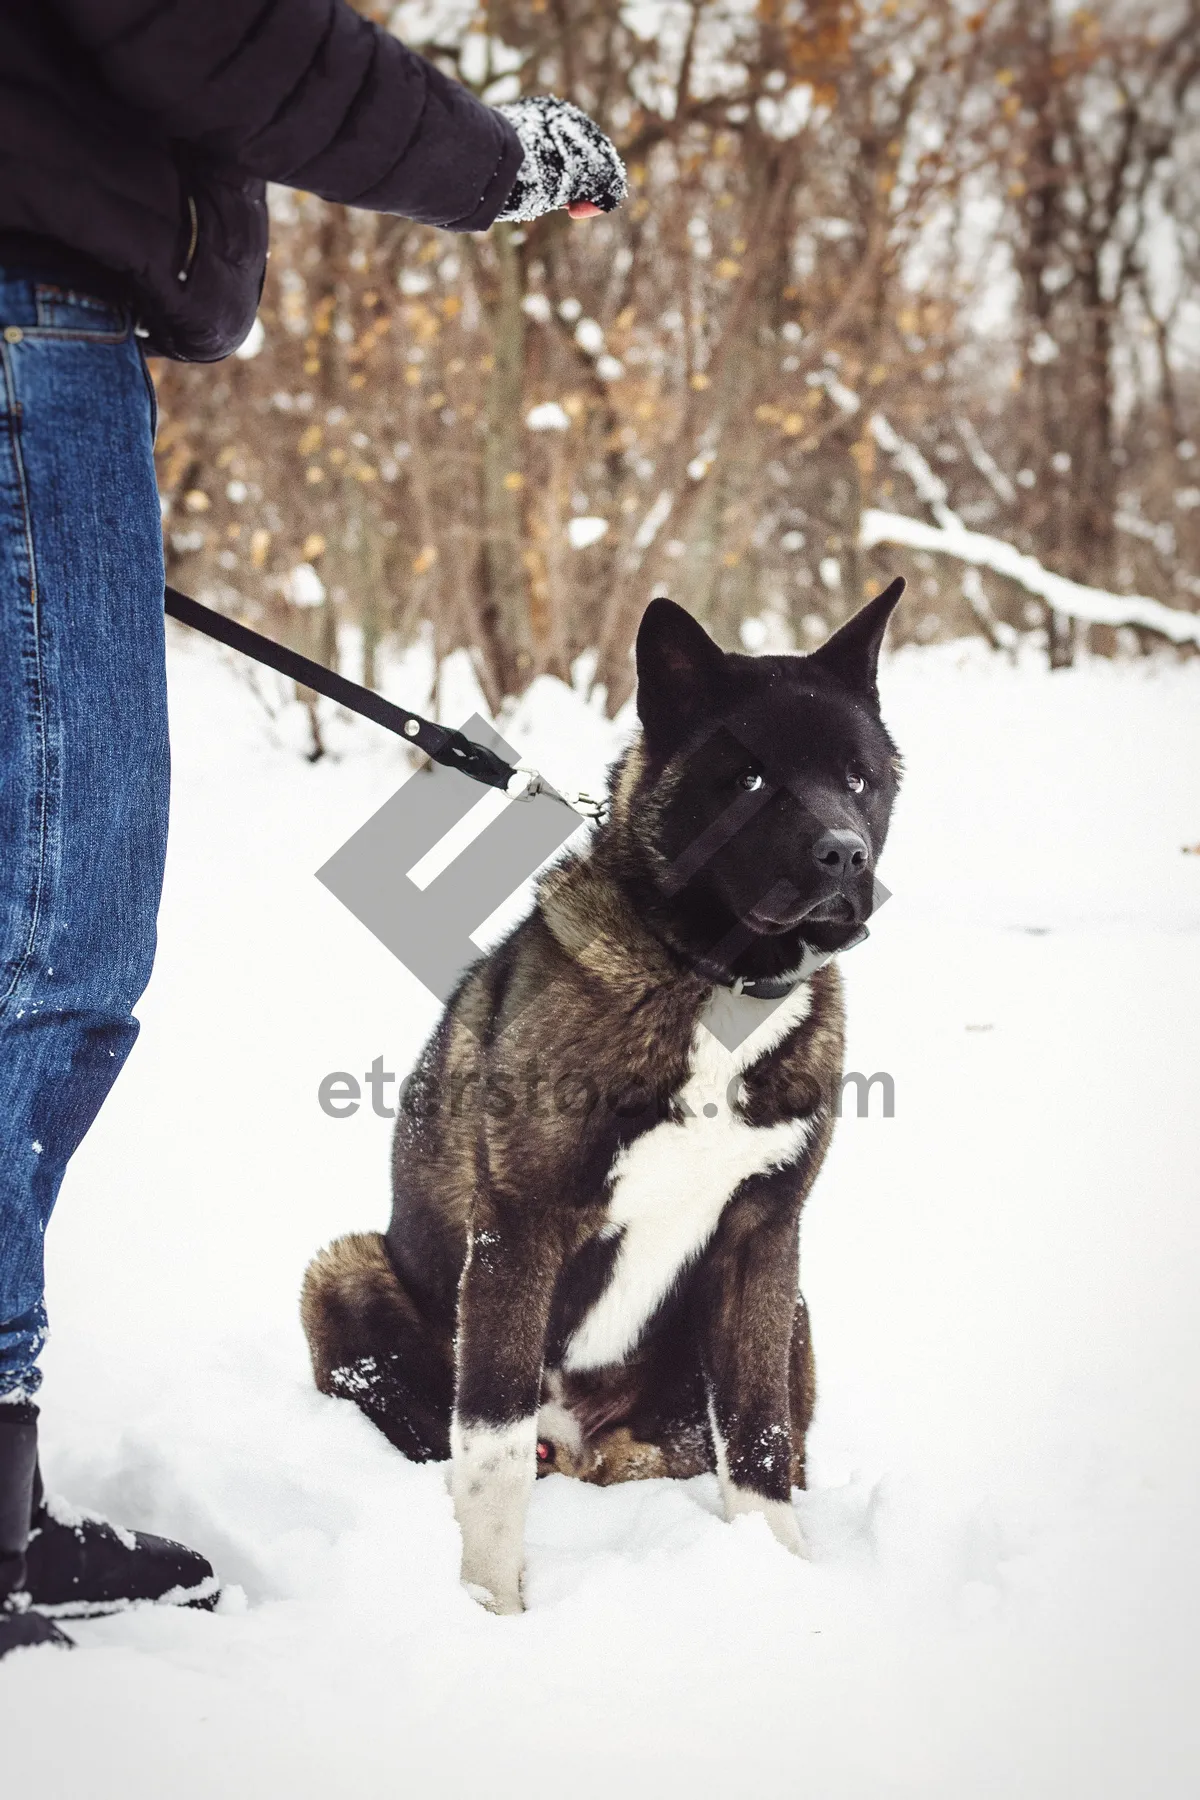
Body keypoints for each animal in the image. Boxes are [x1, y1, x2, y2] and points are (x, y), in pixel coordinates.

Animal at [305, 579, 906, 1620]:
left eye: (858, 778)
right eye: (750, 780)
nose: (843, 857)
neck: (713, 984)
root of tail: (589, 1445)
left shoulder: (763, 1239)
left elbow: (758, 1437)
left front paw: (779, 1583)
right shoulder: (519, 1229)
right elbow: (491, 1451)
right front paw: (491, 1610)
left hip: (792, 1313)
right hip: (344, 1270)